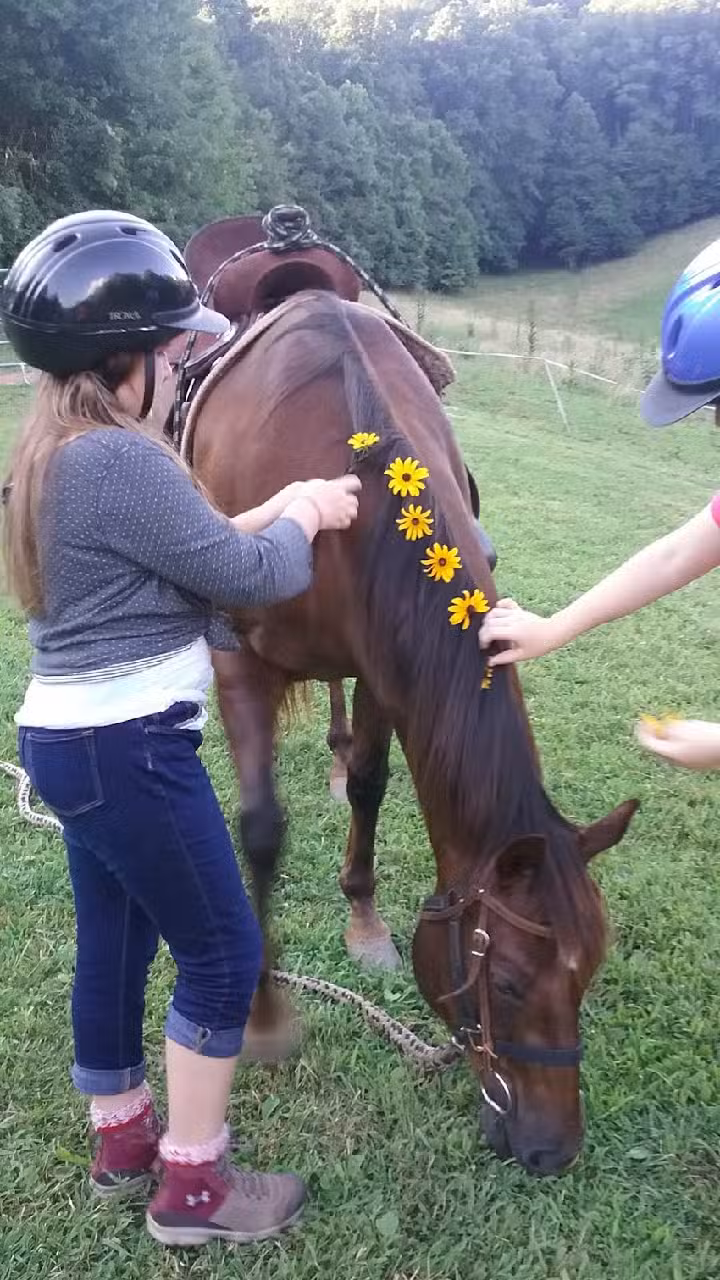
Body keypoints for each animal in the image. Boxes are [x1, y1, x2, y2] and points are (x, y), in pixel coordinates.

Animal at [189, 289, 637, 1176]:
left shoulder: (381, 668)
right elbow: (260, 830)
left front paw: (364, 921)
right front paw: (262, 1010)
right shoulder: (242, 659)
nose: (554, 1150)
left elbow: (371, 782)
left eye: (589, 976)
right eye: (508, 984)